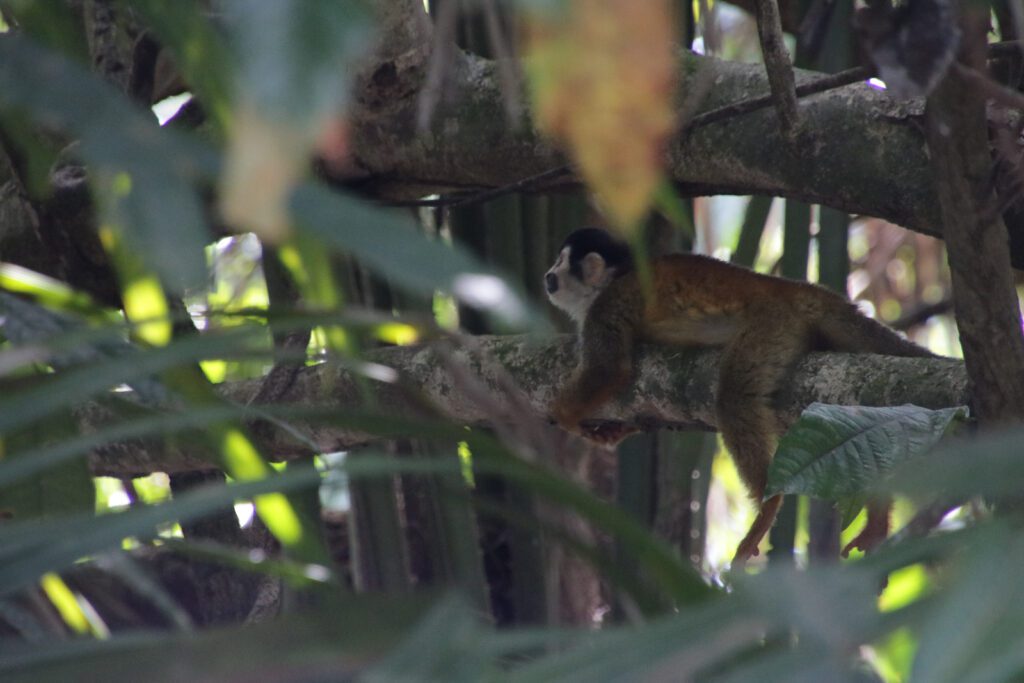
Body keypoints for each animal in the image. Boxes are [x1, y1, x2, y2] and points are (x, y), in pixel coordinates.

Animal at [544, 227, 936, 564]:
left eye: (560, 263)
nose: (547, 275)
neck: (611, 280)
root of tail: (793, 288)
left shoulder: (606, 306)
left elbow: (609, 370)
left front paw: (564, 415)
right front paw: (612, 432)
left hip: (770, 325)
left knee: (733, 397)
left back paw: (768, 505)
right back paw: (878, 516)